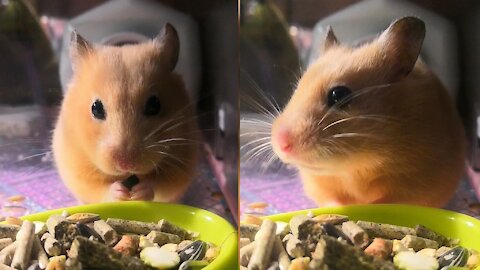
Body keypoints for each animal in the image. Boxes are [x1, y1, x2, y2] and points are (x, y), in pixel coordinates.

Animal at [50, 24, 197, 204]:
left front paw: (138, 192)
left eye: (154, 105)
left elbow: (162, 185)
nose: (126, 164)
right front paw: (121, 193)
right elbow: (97, 188)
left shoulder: (182, 161)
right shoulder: (77, 166)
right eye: (96, 108)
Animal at [272, 16, 466, 207]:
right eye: (297, 88)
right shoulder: (319, 183)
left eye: (338, 94)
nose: (281, 144)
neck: (356, 166)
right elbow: (332, 200)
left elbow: (385, 202)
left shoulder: (415, 184)